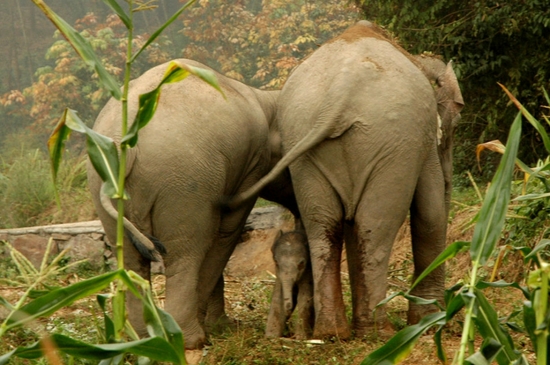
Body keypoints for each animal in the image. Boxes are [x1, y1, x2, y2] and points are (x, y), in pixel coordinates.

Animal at [87, 58, 302, 348]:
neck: (266, 99)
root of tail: (125, 142)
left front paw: (219, 326)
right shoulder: (251, 165)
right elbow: (225, 233)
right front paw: (218, 327)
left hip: (104, 184)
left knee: (132, 259)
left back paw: (144, 338)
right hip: (183, 182)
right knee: (185, 252)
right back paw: (190, 339)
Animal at [229, 20, 466, 338]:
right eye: (455, 126)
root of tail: (340, 93)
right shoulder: (423, 142)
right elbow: (430, 214)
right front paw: (429, 322)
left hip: (304, 143)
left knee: (324, 226)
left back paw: (332, 332)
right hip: (393, 143)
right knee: (374, 225)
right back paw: (380, 331)